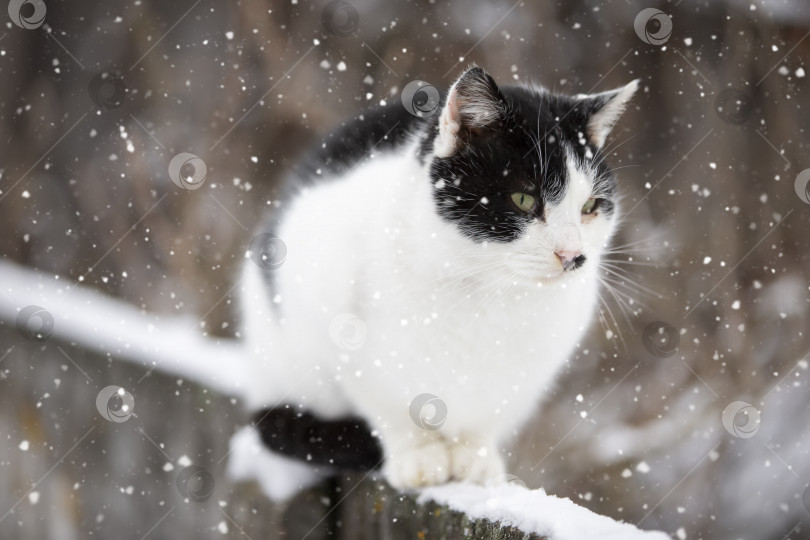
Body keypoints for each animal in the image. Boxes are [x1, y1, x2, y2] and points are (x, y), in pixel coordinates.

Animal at [240, 64, 636, 490]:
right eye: (524, 199)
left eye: (591, 206)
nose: (573, 255)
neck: (487, 293)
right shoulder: (342, 337)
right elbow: (392, 412)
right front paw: (419, 458)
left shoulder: (521, 381)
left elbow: (484, 419)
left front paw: (474, 460)